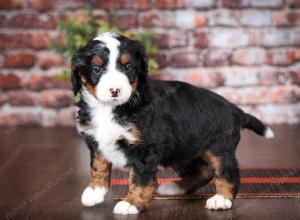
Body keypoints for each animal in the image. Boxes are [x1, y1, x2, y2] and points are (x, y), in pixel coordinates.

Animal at [71, 32, 274, 215]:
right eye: (97, 69)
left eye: (127, 67)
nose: (115, 90)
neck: (110, 108)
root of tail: (234, 108)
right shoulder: (96, 140)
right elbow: (98, 166)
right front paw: (95, 191)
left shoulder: (145, 147)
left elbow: (139, 178)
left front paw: (131, 203)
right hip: (184, 148)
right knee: (203, 170)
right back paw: (176, 187)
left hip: (219, 147)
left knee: (227, 173)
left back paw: (221, 199)